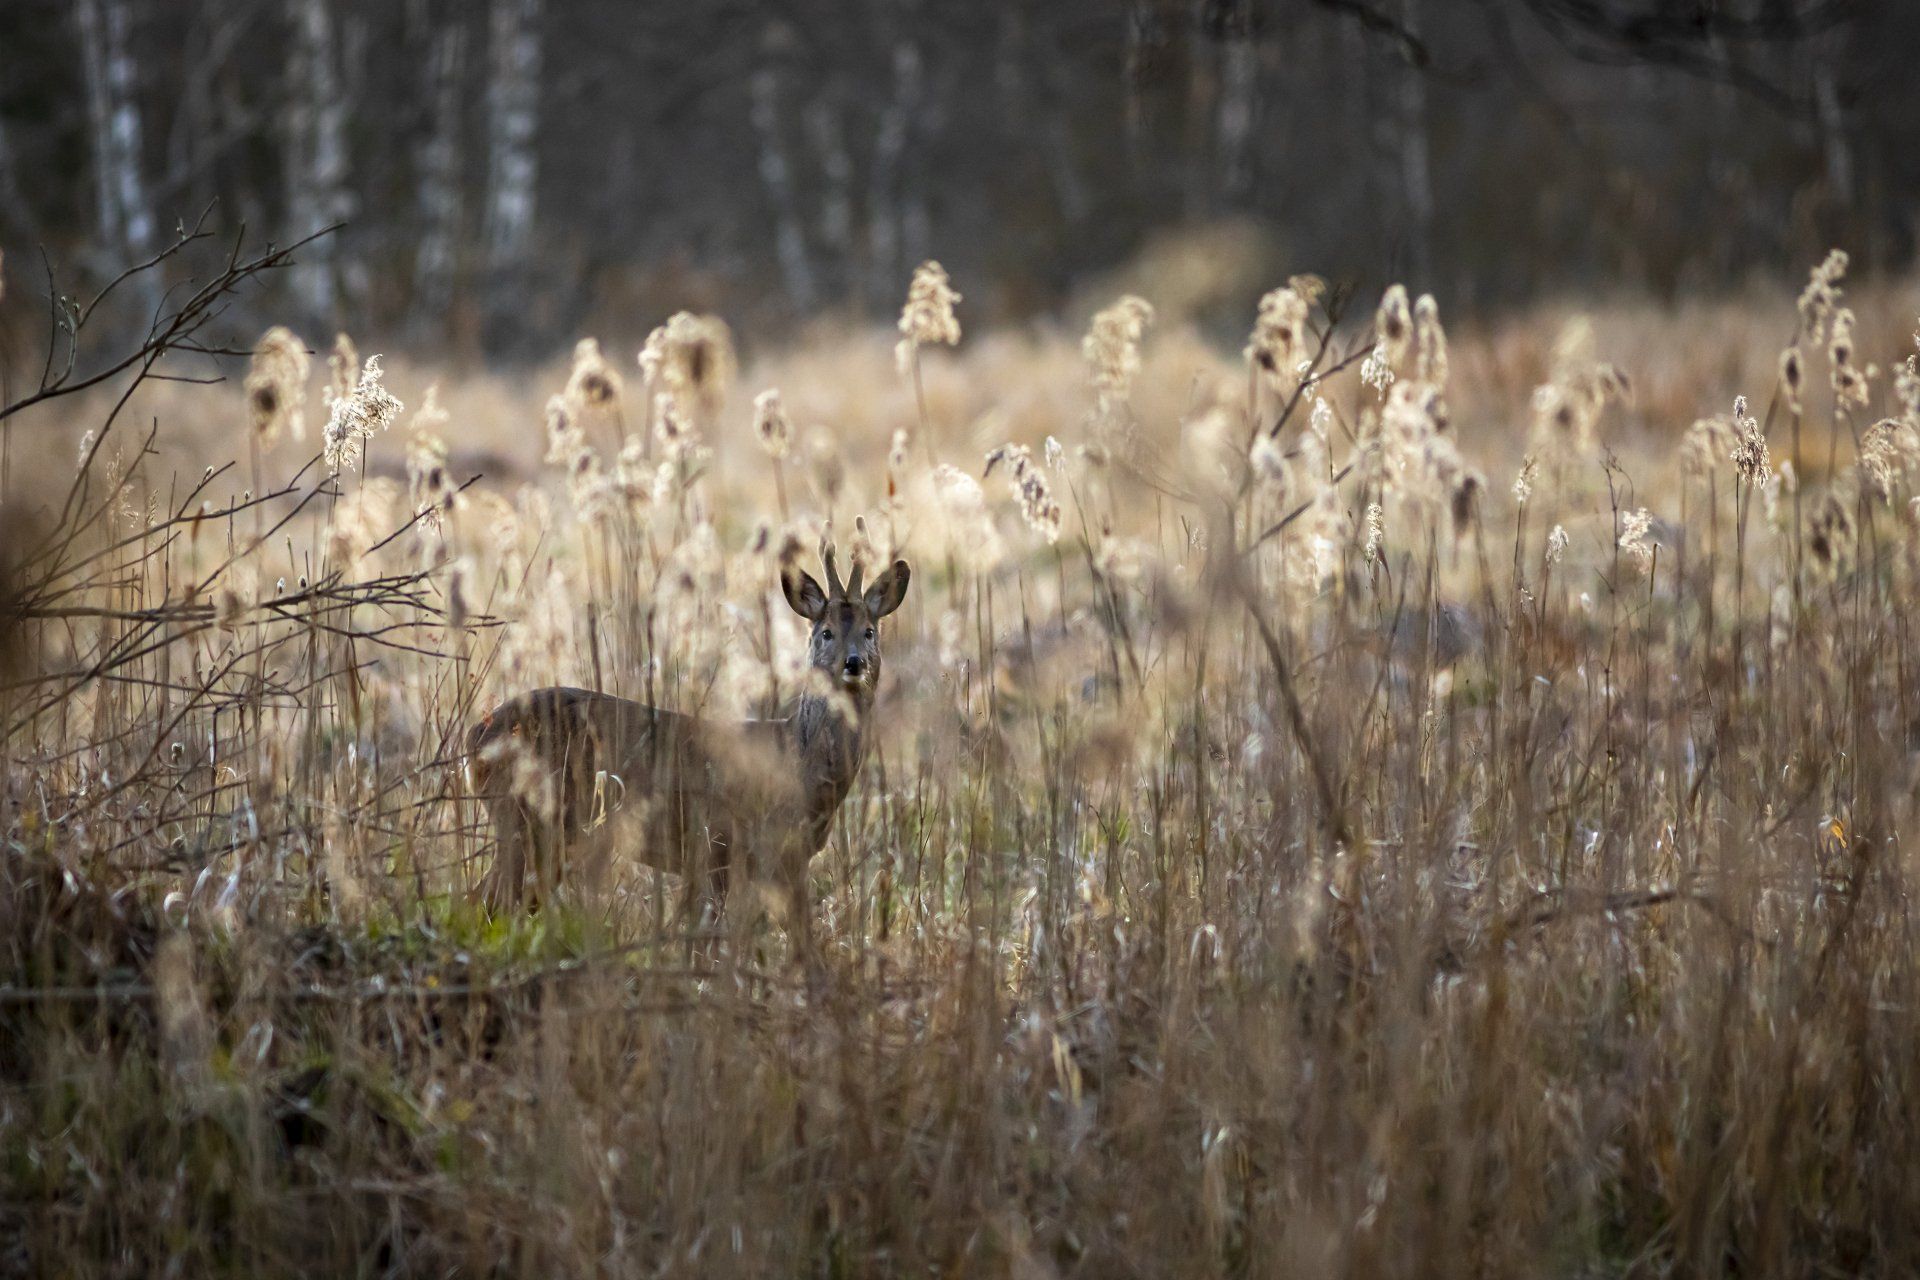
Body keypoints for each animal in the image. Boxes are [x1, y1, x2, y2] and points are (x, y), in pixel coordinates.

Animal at [465, 550, 910, 955]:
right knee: (485, 903)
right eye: (826, 632)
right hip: (527, 820)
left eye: (870, 631)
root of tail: (474, 738)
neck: (799, 764)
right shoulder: (719, 843)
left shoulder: (782, 859)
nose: (853, 663)